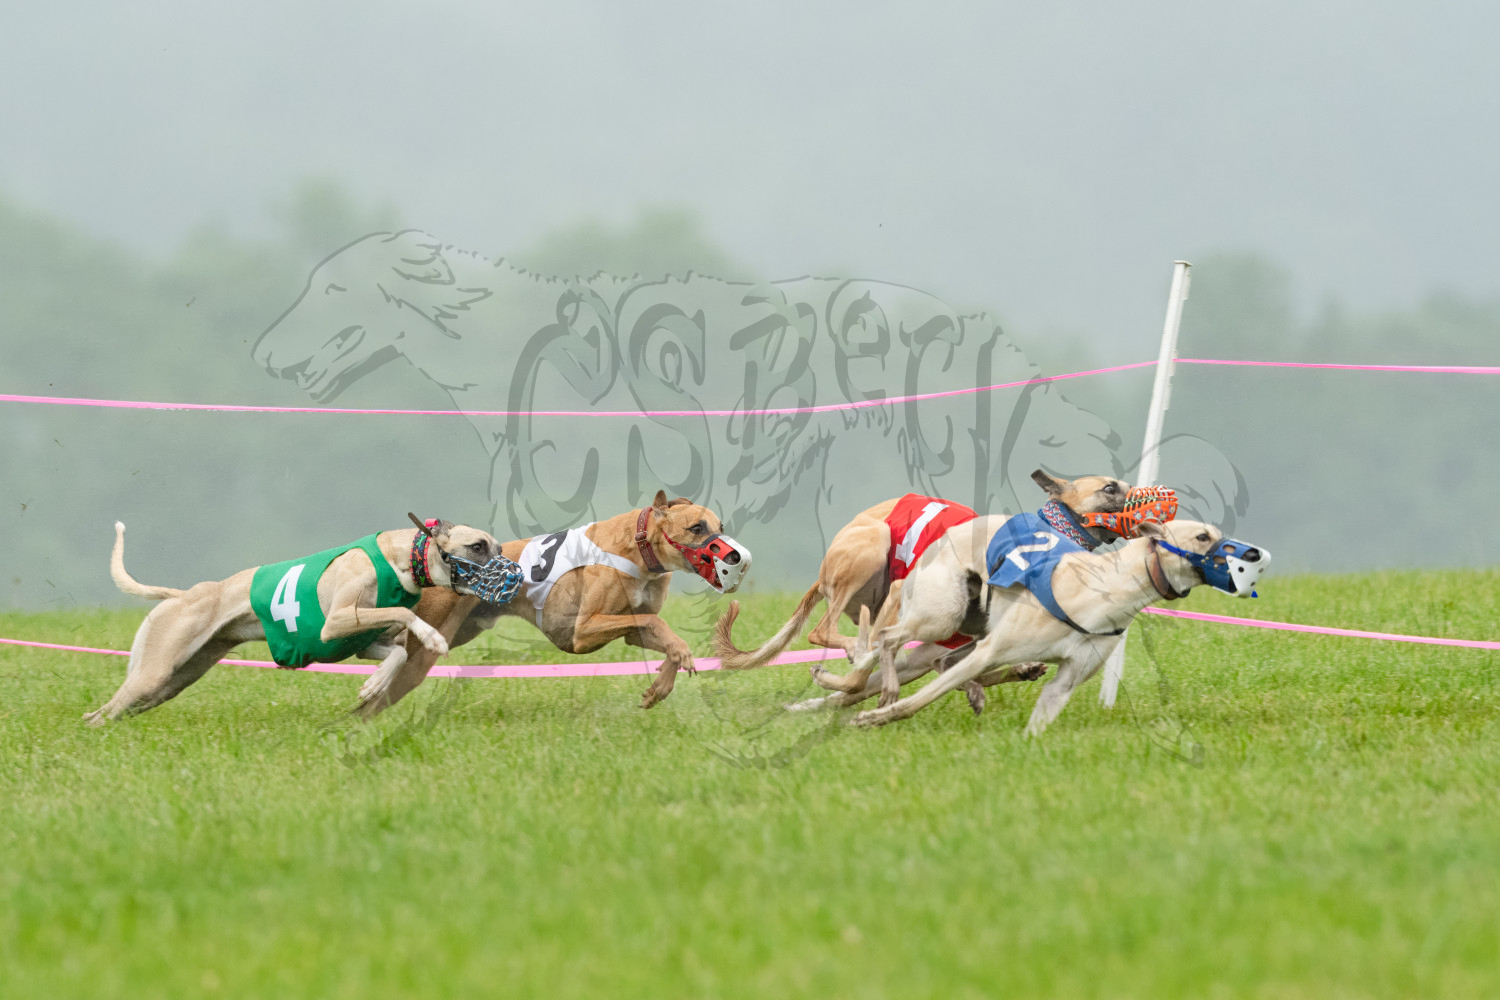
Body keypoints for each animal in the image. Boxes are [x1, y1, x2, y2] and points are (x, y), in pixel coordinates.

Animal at [86, 517, 509, 724]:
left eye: (499, 546)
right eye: (477, 546)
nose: (514, 573)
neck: (403, 557)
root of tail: (182, 596)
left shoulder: (361, 641)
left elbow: (399, 651)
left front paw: (374, 684)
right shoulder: (336, 622)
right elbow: (404, 615)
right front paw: (433, 639)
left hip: (177, 677)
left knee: (122, 708)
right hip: (155, 670)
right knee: (101, 713)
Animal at [354, 491, 752, 716]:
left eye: (719, 525)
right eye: (697, 528)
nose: (736, 558)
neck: (639, 548)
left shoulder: (629, 629)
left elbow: (665, 637)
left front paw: (660, 686)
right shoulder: (581, 632)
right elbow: (660, 625)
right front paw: (677, 663)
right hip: (424, 647)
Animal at [714, 470, 1136, 709]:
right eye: (1110, 488)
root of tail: (823, 569)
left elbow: (957, 666)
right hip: (874, 545)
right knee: (825, 633)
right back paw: (854, 655)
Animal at [834, 516, 1268, 735]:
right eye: (1202, 536)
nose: (1254, 556)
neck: (1106, 590)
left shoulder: (1065, 683)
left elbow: (1042, 716)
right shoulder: (992, 651)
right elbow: (919, 700)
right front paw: (874, 718)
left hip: (973, 624)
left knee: (938, 658)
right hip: (943, 616)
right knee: (890, 638)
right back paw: (888, 691)